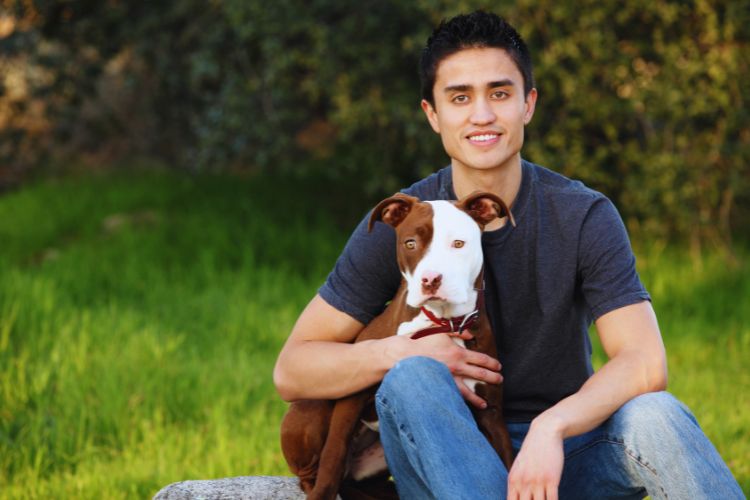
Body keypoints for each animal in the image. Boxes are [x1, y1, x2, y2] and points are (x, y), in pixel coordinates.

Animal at [282, 191, 516, 500]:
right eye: (410, 243)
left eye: (458, 243)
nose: (431, 280)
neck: (443, 321)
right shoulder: (350, 399)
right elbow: (334, 453)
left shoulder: (491, 410)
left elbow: (508, 460)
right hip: (312, 406)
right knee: (315, 470)